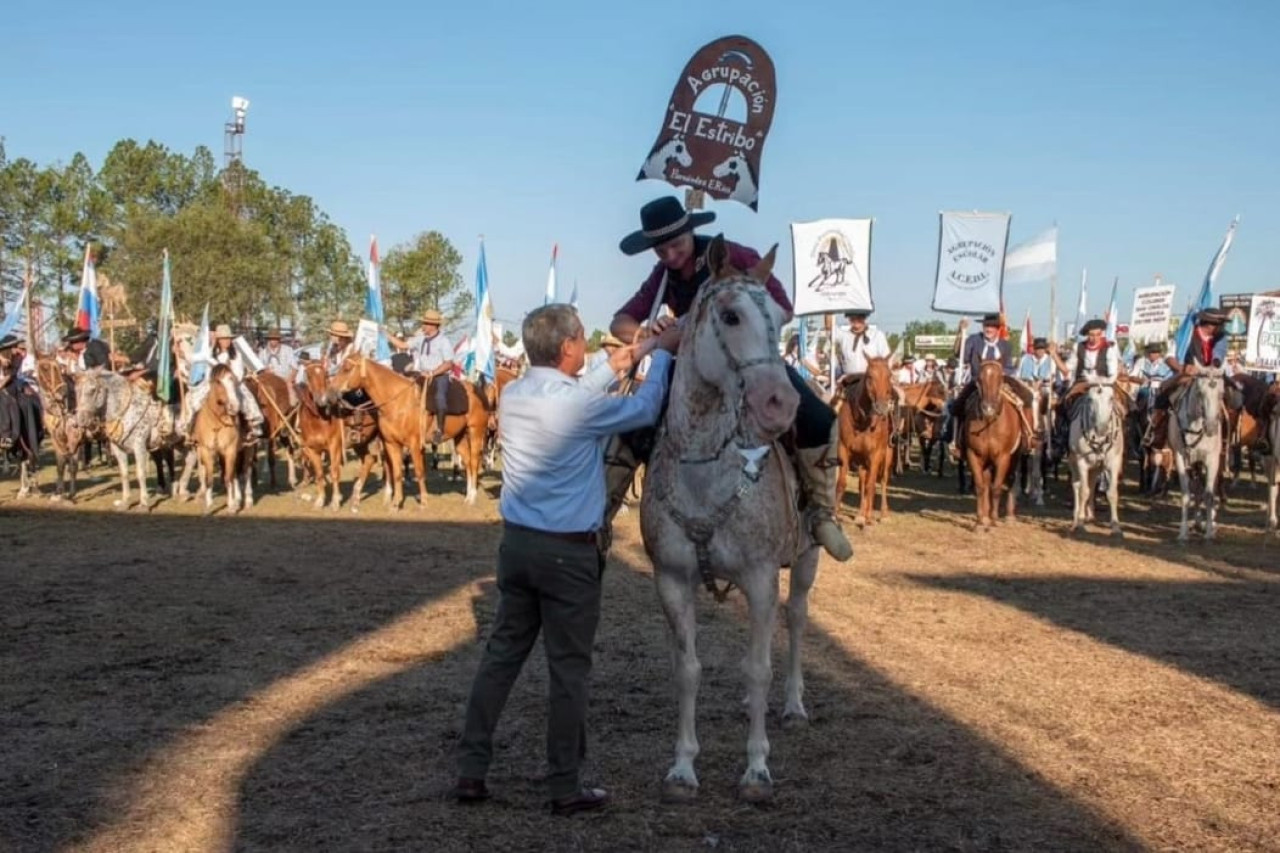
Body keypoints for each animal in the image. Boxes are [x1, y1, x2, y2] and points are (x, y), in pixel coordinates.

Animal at [637, 235, 819, 799]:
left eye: (781, 318)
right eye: (731, 315)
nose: (780, 404)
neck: (706, 469)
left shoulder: (761, 576)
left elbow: (758, 668)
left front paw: (757, 767)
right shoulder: (672, 579)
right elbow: (688, 669)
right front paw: (682, 767)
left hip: (807, 559)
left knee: (796, 619)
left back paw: (793, 704)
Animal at [834, 353, 896, 525]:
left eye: (889, 375)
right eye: (870, 377)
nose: (882, 407)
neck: (862, 422)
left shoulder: (875, 454)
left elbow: (871, 485)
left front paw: (869, 518)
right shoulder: (843, 449)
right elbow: (842, 483)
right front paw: (835, 514)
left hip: (887, 455)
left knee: (882, 480)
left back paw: (882, 514)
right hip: (861, 459)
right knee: (862, 481)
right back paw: (860, 514)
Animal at [962, 356, 1024, 525]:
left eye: (1000, 378)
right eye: (979, 378)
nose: (988, 408)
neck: (990, 424)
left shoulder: (1003, 457)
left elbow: (996, 488)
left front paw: (995, 518)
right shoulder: (974, 455)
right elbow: (981, 487)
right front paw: (980, 521)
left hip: (1014, 457)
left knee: (1010, 480)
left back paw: (1008, 516)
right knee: (987, 483)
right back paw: (985, 516)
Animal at [1064, 381, 1126, 535]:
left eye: (1111, 398)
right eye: (1090, 399)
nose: (1101, 428)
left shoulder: (1113, 463)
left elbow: (1112, 493)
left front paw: (1116, 526)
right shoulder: (1082, 462)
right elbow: (1083, 491)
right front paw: (1080, 523)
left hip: (1096, 467)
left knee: (1092, 485)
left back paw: (1090, 515)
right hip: (1074, 463)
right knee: (1077, 486)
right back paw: (1076, 518)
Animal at [1167, 366, 1223, 537]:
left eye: (1221, 393)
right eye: (1199, 392)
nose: (1211, 427)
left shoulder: (1212, 460)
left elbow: (1209, 495)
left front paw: (1209, 532)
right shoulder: (1180, 457)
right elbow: (1186, 494)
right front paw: (1183, 532)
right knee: (1197, 488)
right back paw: (1197, 521)